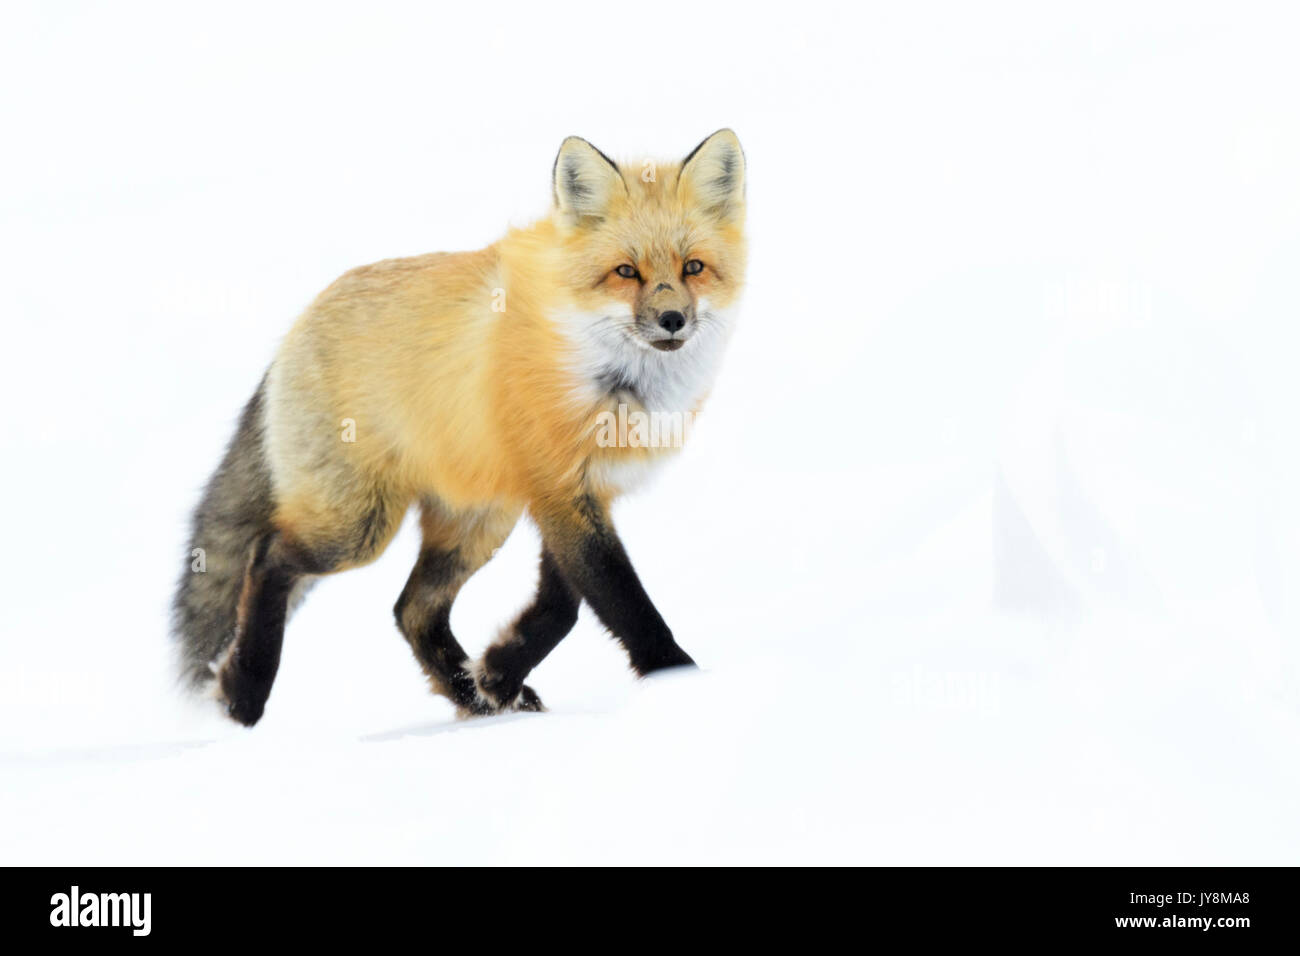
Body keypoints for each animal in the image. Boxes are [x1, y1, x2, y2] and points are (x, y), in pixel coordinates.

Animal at [172, 129, 747, 725]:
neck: (614, 382)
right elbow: (620, 599)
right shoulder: (561, 491)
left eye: (694, 268)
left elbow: (564, 605)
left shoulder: (576, 492)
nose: (672, 320)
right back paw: (245, 689)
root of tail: (294, 329)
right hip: (357, 528)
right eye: (626, 272)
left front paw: (496, 673)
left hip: (477, 521)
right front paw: (678, 679)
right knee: (267, 556)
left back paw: (470, 696)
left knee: (411, 610)